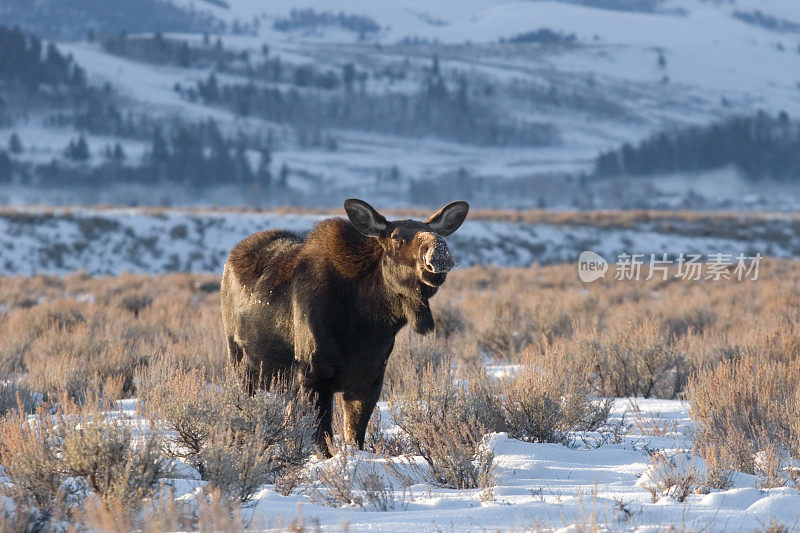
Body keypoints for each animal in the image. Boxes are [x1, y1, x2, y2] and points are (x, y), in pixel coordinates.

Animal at [219, 197, 468, 456]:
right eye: (396, 236)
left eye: (435, 232)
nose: (439, 252)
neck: (366, 326)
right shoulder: (314, 377)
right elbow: (322, 440)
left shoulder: (369, 381)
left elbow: (354, 436)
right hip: (240, 364)